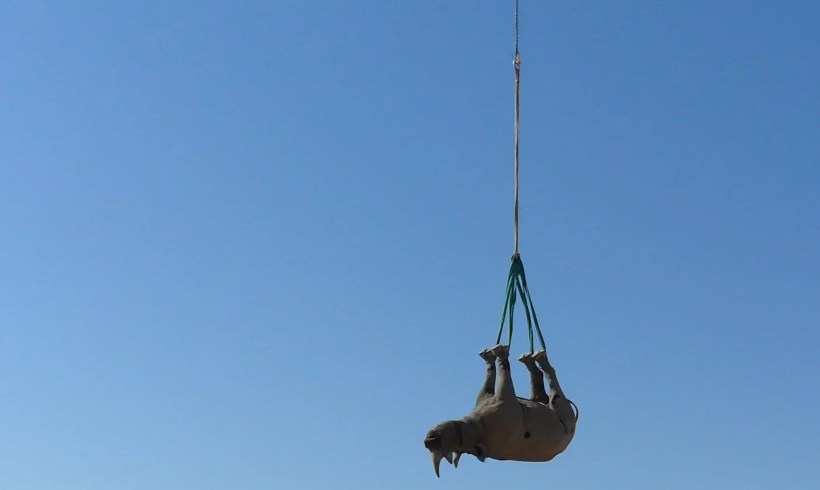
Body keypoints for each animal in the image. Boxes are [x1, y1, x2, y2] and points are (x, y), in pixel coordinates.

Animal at [423, 344, 578, 477]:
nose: (428, 442)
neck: (476, 427)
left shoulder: (487, 397)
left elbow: (492, 379)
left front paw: (490, 357)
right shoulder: (506, 401)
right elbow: (504, 373)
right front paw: (500, 355)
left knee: (540, 391)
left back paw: (531, 361)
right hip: (564, 413)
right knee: (551, 388)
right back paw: (538, 361)